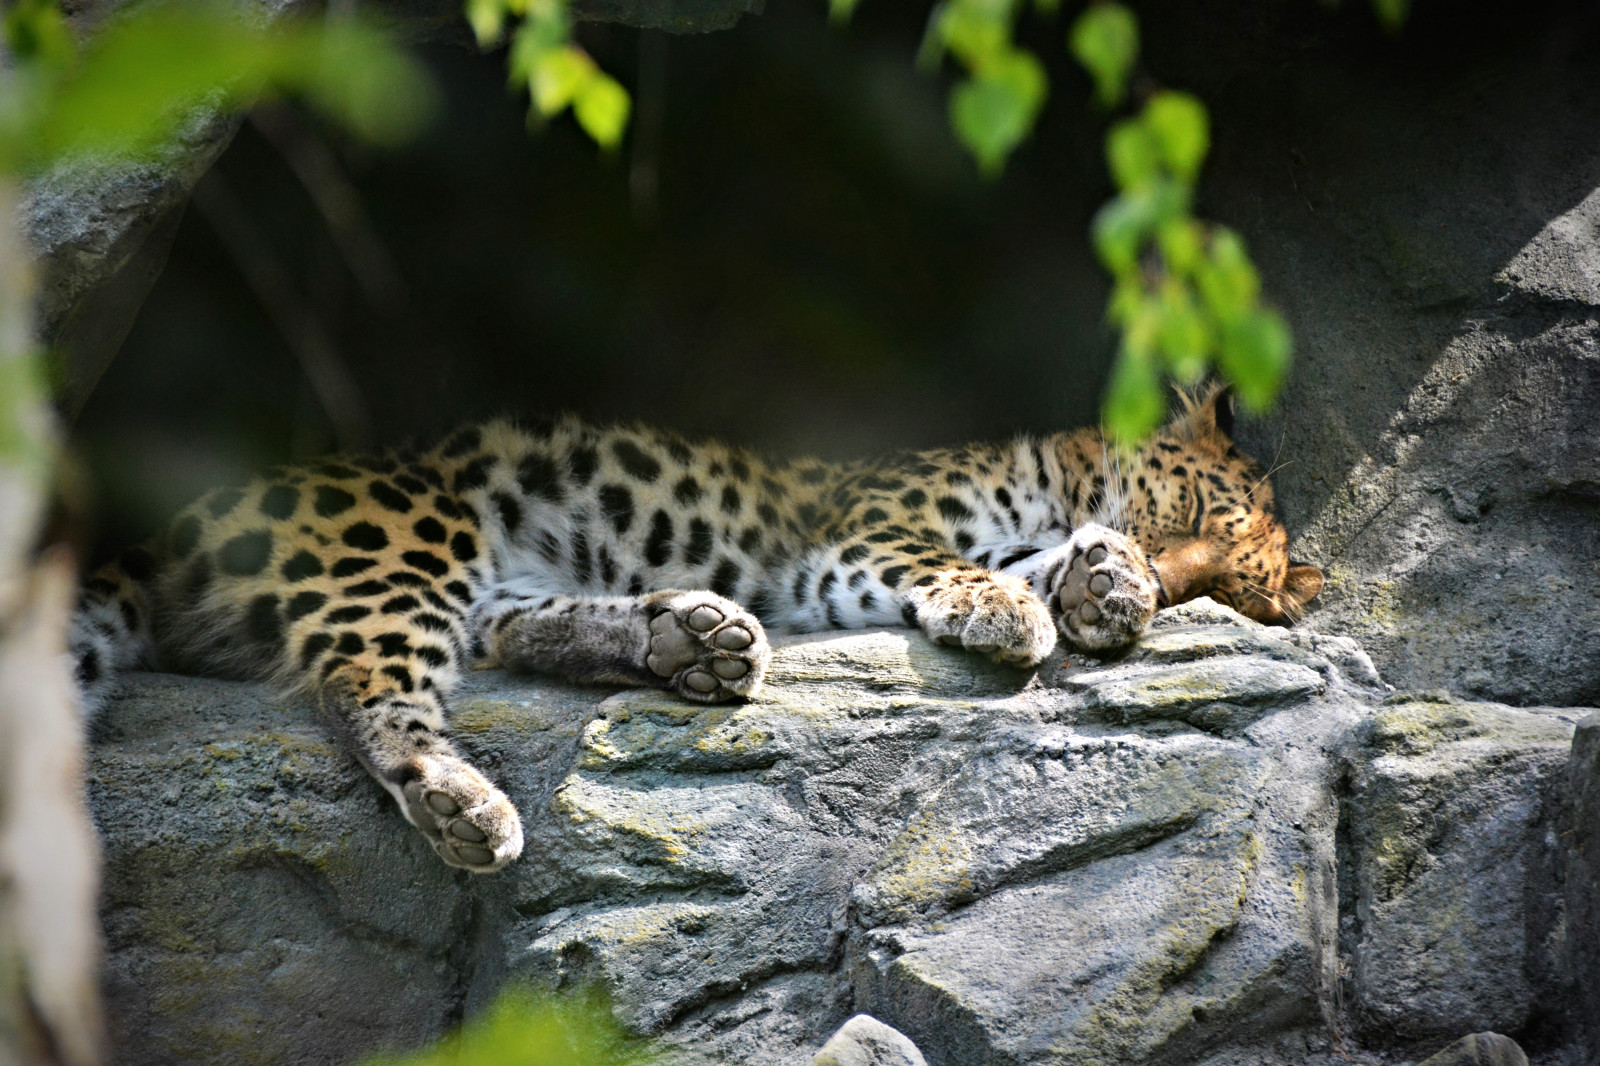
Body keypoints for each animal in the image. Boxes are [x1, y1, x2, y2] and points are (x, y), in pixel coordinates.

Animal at [71, 385, 1323, 874]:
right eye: (1189, 513)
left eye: (1230, 588)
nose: (1165, 576)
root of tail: (172, 528)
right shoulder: (860, 531)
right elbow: (951, 562)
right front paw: (1021, 602)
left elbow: (1047, 552)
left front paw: (1104, 585)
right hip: (406, 533)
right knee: (366, 678)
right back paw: (462, 798)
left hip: (488, 575)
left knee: (501, 635)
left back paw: (693, 637)